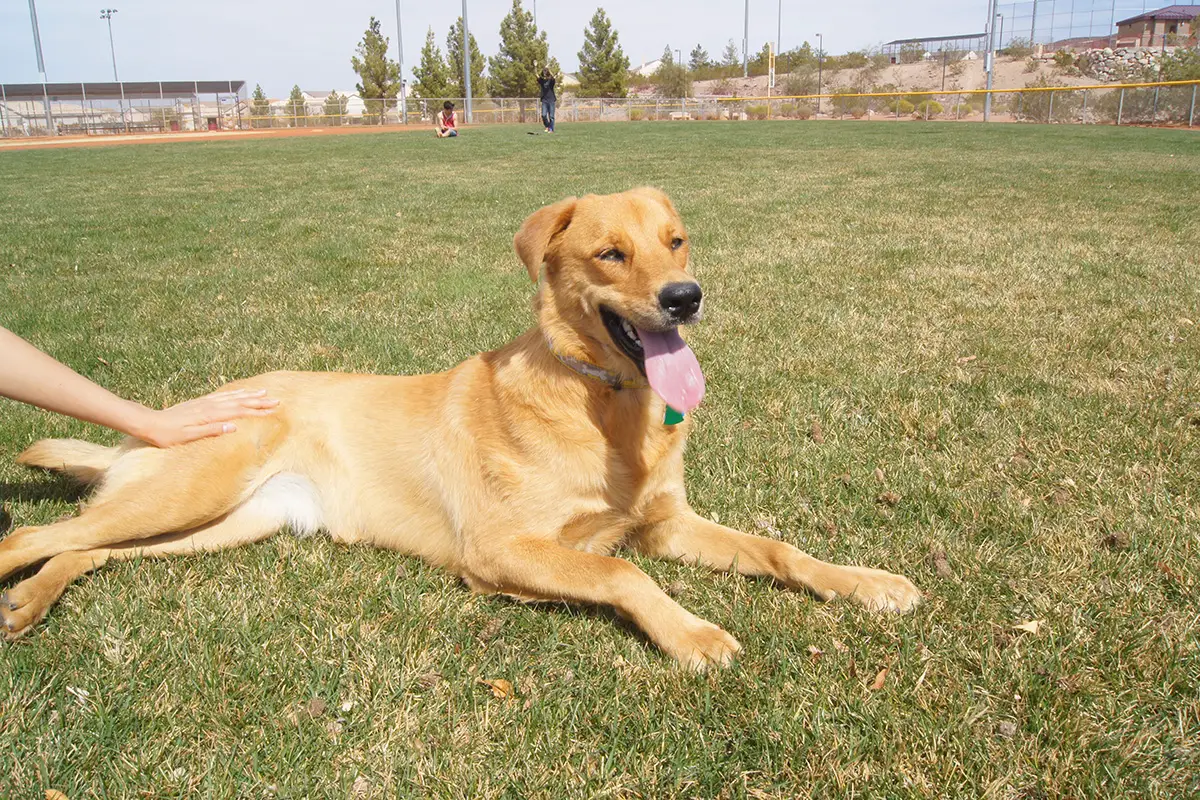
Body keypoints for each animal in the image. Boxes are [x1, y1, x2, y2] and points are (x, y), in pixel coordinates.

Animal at [2, 188, 916, 671]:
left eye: (675, 240)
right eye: (611, 254)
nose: (686, 298)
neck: (599, 404)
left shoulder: (665, 523)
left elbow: (778, 548)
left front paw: (864, 581)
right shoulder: (501, 550)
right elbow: (622, 574)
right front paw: (689, 632)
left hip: (226, 521)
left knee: (86, 548)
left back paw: (31, 603)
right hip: (198, 486)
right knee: (33, 536)